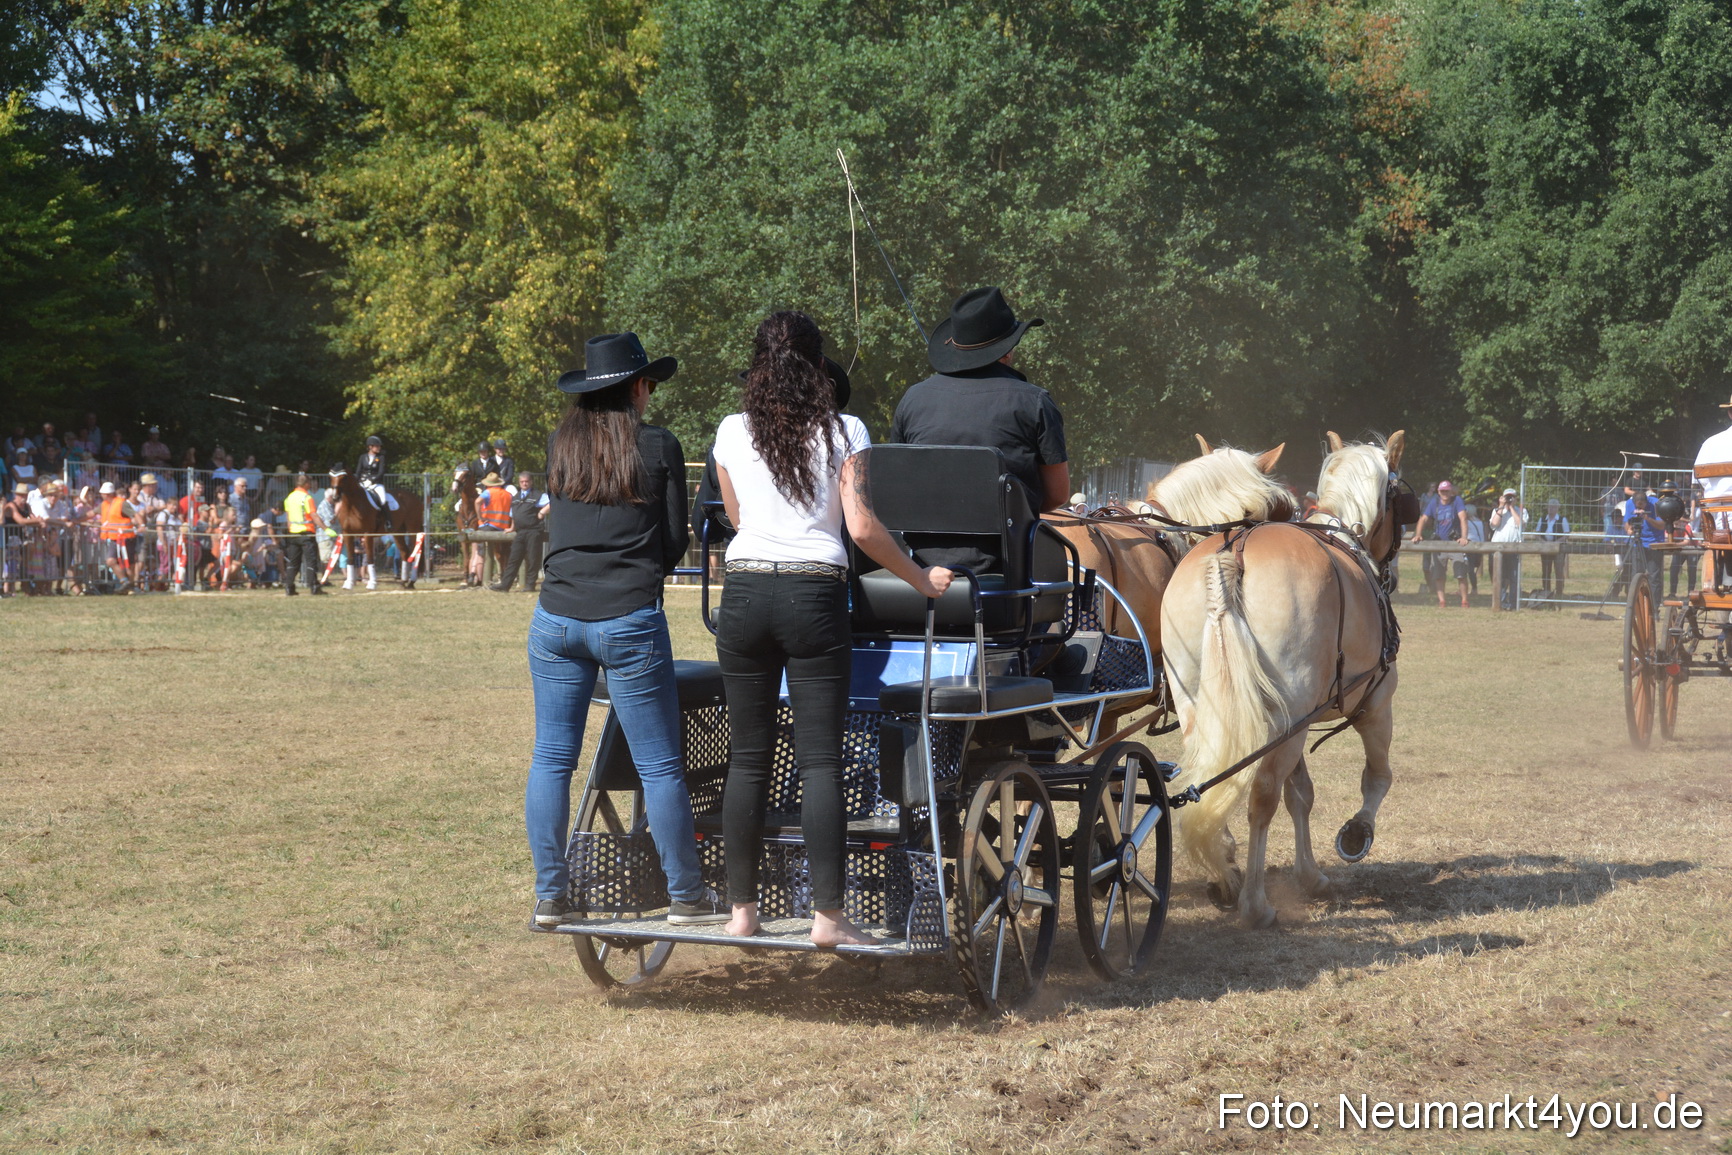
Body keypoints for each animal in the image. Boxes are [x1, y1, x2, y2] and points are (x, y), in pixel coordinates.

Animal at [1159, 431, 1406, 928]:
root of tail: (1231, 550)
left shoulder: (1300, 715)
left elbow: (1302, 795)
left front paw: (1310, 875)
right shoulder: (1374, 705)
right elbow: (1377, 777)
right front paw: (1357, 833)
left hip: (1208, 706)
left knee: (1208, 777)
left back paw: (1224, 875)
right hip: (1293, 715)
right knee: (1262, 796)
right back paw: (1255, 904)